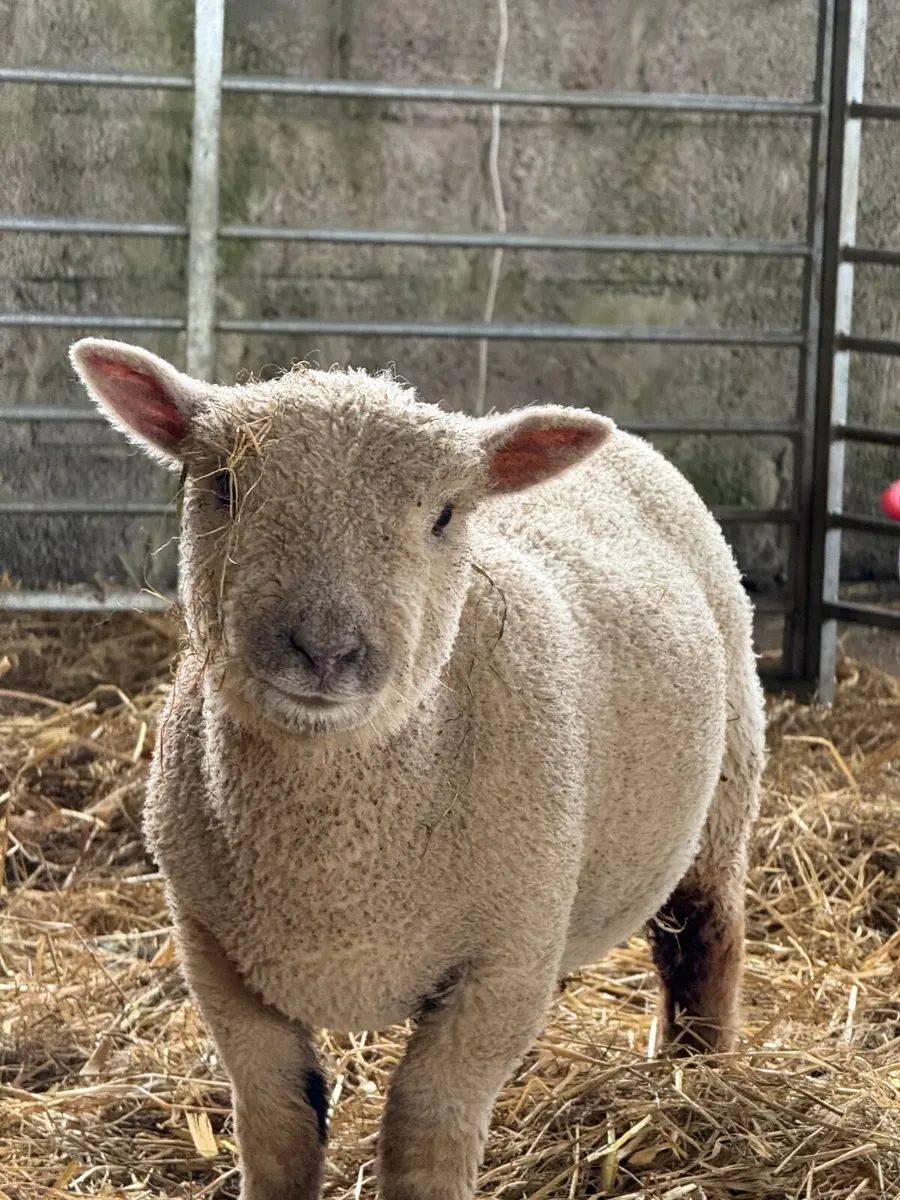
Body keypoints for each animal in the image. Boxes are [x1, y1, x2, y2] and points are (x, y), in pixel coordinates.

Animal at [70, 337, 766, 1200]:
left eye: (444, 515)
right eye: (222, 485)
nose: (325, 650)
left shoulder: (507, 963)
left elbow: (425, 1131)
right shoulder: (215, 955)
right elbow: (279, 1126)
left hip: (726, 789)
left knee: (704, 938)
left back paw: (696, 1075)